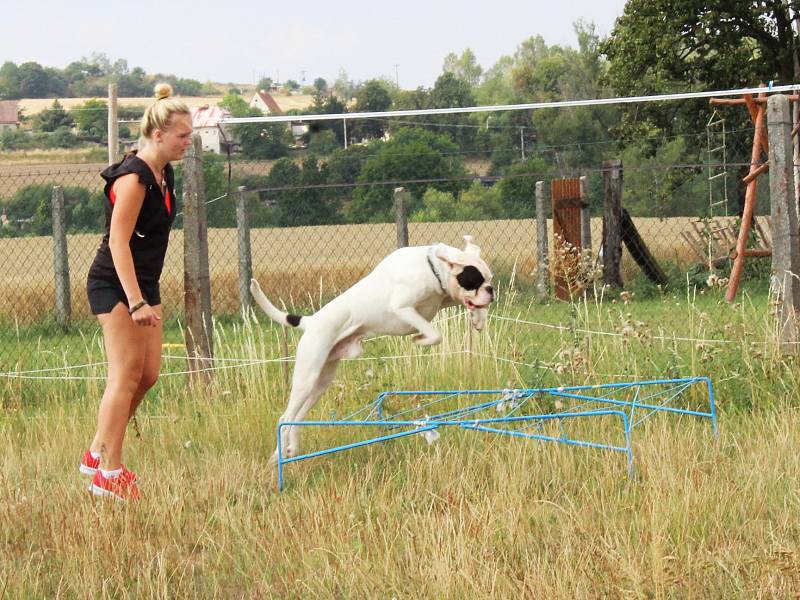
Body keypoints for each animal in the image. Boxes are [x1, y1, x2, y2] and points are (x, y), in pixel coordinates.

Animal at [253, 237, 494, 462]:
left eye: (489, 279)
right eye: (475, 280)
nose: (491, 290)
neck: (431, 268)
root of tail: (310, 322)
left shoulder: (442, 300)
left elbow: (467, 307)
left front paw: (478, 319)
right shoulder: (403, 308)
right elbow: (435, 334)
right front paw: (419, 339)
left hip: (321, 382)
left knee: (297, 418)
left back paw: (291, 449)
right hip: (306, 378)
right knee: (285, 419)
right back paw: (277, 457)